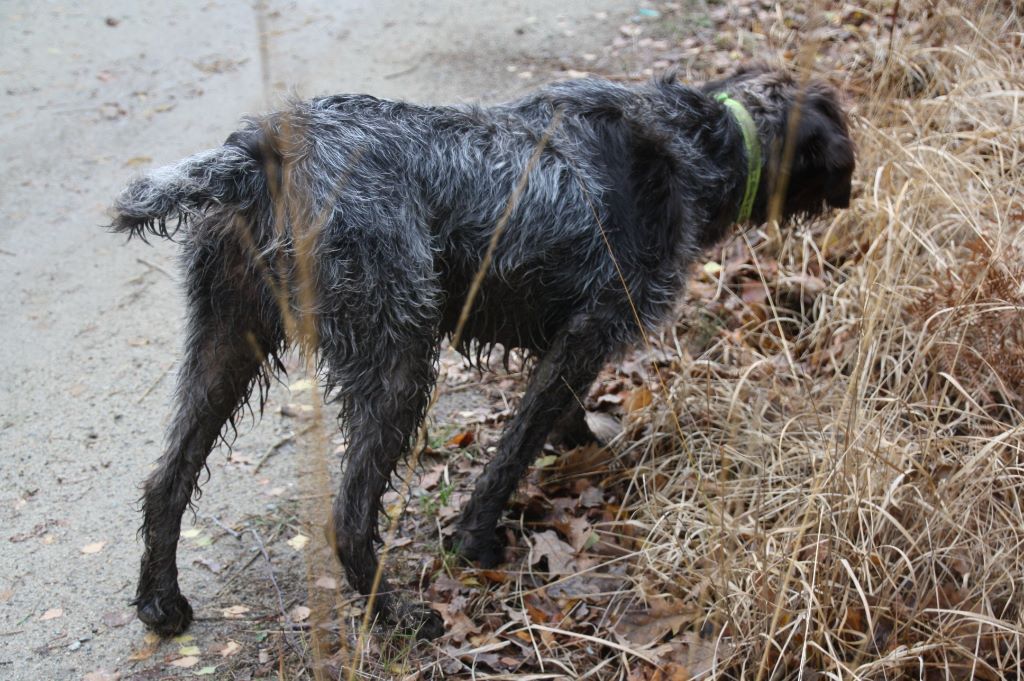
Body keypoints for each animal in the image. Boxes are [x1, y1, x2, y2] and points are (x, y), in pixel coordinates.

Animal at [108, 63, 851, 639]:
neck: (694, 142)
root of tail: (258, 149)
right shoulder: (588, 329)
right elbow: (513, 452)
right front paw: (476, 540)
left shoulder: (563, 337)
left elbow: (559, 417)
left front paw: (585, 449)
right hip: (398, 361)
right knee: (348, 515)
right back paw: (396, 615)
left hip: (227, 342)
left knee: (166, 481)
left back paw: (161, 602)